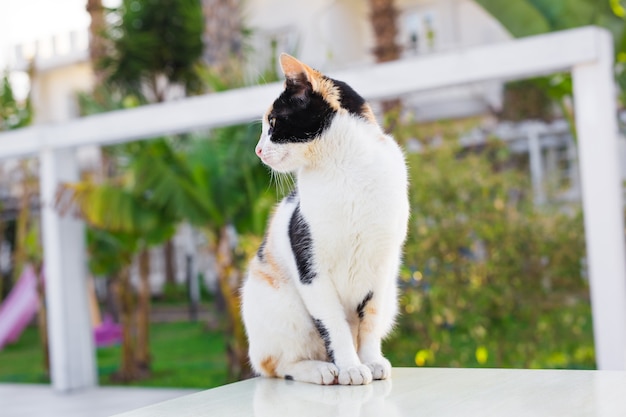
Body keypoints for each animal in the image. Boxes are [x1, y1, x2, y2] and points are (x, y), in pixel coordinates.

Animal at [240, 53, 410, 386]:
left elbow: (369, 323)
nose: (258, 150)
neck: (345, 168)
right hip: (284, 308)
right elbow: (334, 325)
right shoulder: (311, 268)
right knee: (278, 365)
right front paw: (351, 367)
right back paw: (321, 370)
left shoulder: (381, 269)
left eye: (274, 122)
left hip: (390, 298)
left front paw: (370, 361)